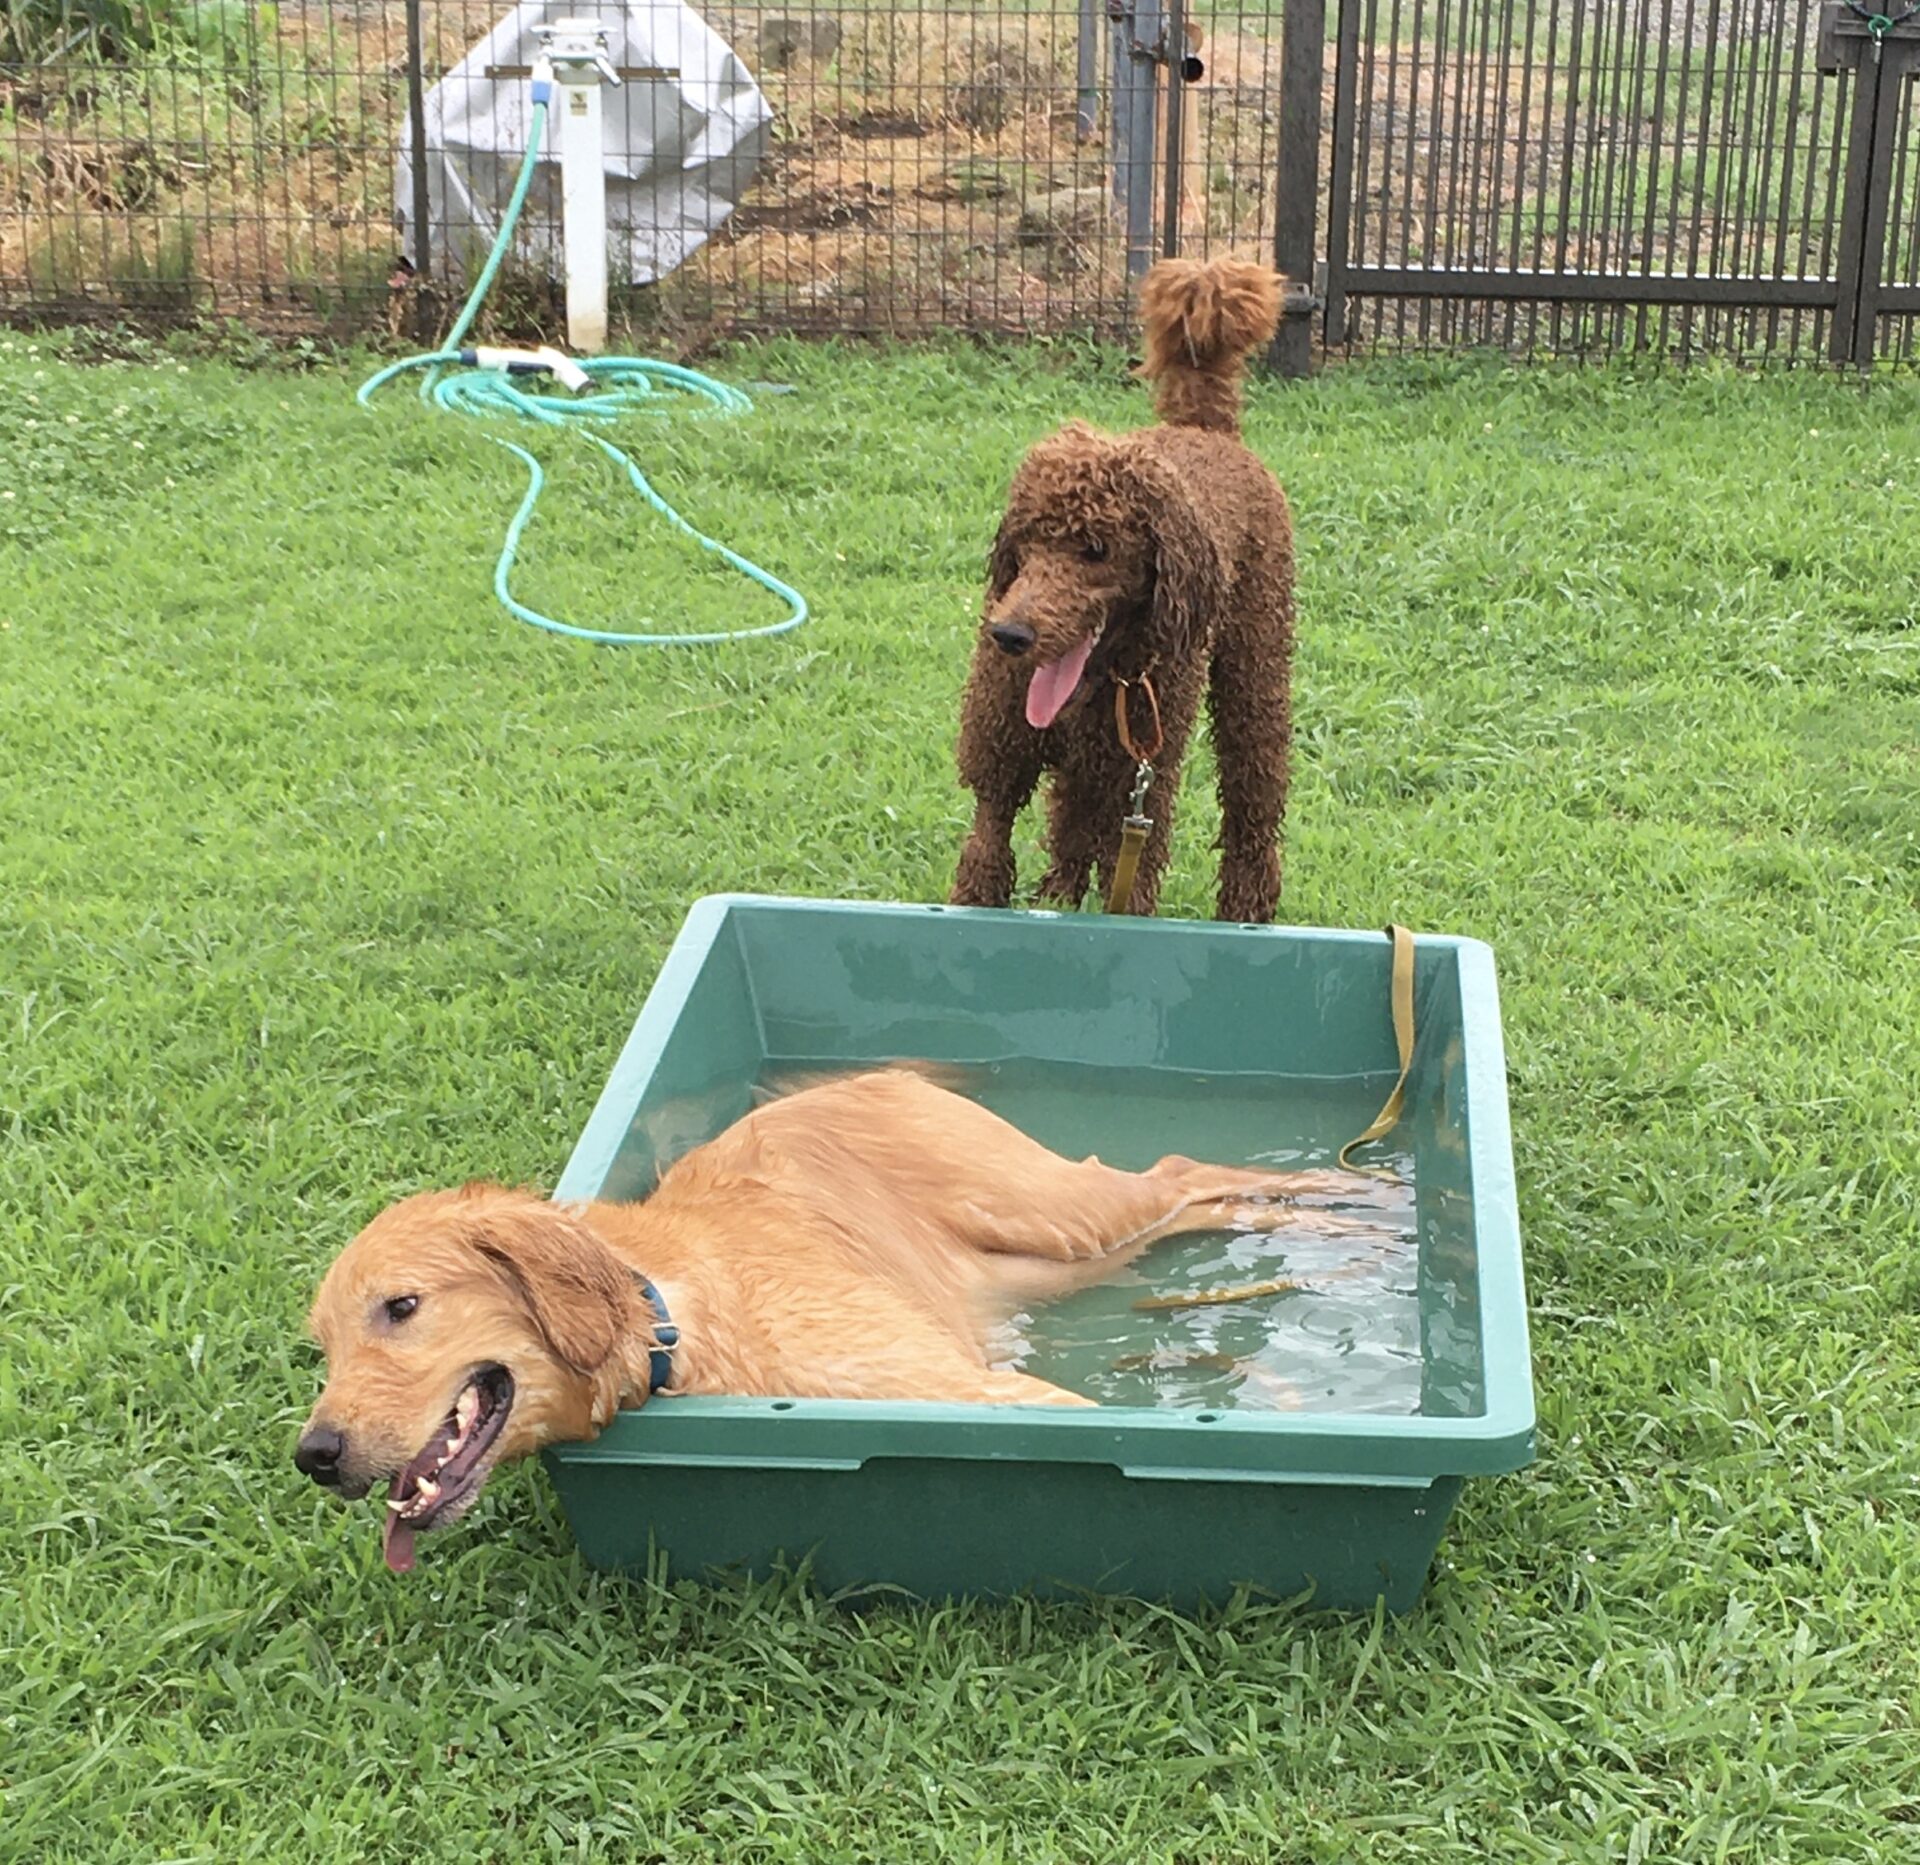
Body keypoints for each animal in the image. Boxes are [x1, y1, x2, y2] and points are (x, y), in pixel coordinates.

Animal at [297, 1070, 1371, 1570]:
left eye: (401, 1306)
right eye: (324, 1345)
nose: (314, 1454)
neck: (672, 1321)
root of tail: (869, 1074)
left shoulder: (984, 1388)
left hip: (1055, 1211)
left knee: (1185, 1172)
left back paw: (1350, 1201)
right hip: (1059, 1261)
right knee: (1200, 1200)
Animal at [950, 255, 1295, 922]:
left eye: (1096, 550)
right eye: (1026, 544)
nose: (1010, 635)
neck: (1092, 683)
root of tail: (1205, 427)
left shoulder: (1141, 782)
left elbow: (1128, 893)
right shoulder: (1003, 755)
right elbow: (988, 844)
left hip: (1257, 668)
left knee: (1253, 803)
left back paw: (1247, 911)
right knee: (1068, 816)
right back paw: (1058, 891)